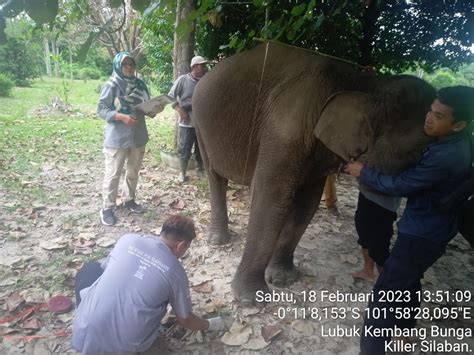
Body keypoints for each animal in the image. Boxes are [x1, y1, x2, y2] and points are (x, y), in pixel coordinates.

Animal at [193, 39, 436, 306]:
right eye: (422, 152)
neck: (363, 82)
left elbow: (306, 204)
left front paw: (283, 280)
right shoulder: (285, 129)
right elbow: (271, 197)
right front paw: (251, 299)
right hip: (199, 124)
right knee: (215, 177)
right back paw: (217, 241)